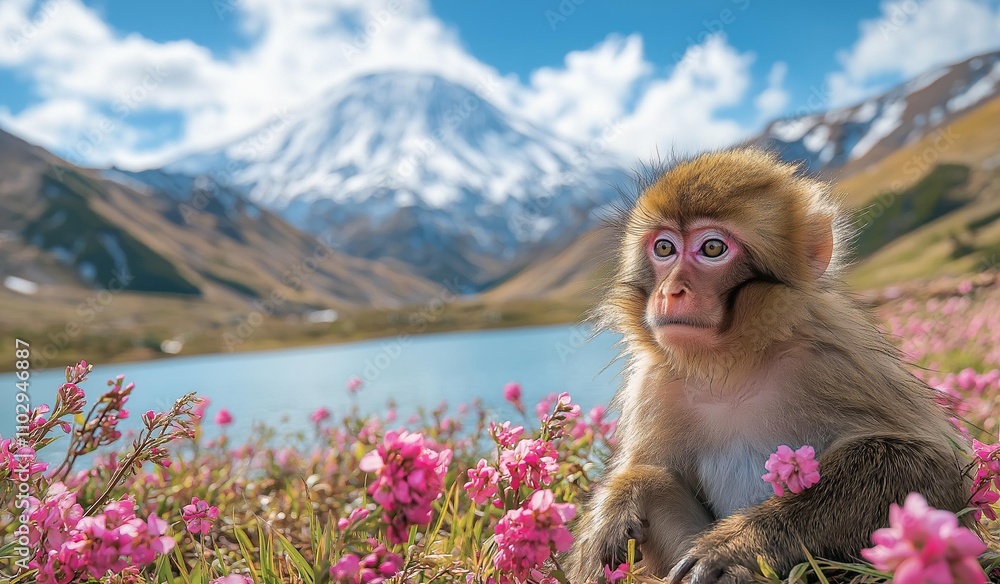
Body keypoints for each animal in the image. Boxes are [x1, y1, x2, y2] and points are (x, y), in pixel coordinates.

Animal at [565, 149, 971, 583]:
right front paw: (622, 497)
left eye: (712, 248)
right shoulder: (653, 385)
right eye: (663, 248)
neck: (732, 368)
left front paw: (738, 544)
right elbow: (647, 471)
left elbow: (936, 470)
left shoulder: (841, 359)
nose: (671, 291)